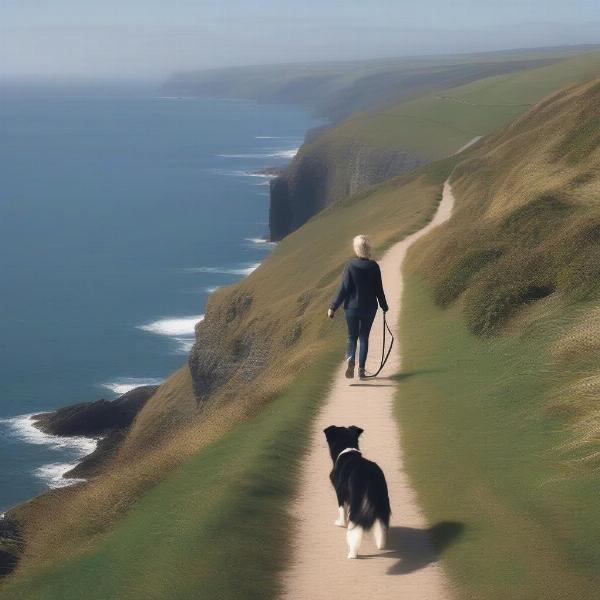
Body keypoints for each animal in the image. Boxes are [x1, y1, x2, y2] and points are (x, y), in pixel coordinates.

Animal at [322, 426, 392, 556]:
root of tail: (369, 474)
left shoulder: (340, 492)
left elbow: (342, 510)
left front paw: (340, 523)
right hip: (381, 497)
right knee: (381, 521)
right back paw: (380, 544)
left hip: (357, 498)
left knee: (355, 522)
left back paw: (352, 552)